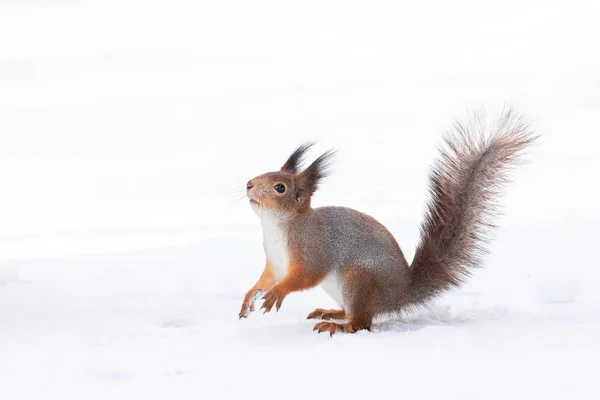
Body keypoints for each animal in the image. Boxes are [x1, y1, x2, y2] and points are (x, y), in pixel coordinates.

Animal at [237, 108, 536, 336]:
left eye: (280, 188)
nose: (249, 184)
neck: (276, 226)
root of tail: (401, 294)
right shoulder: (276, 262)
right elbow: (267, 279)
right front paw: (249, 298)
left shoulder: (313, 248)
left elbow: (304, 275)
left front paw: (277, 293)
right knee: (355, 314)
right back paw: (332, 312)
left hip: (358, 280)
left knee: (362, 323)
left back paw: (338, 326)